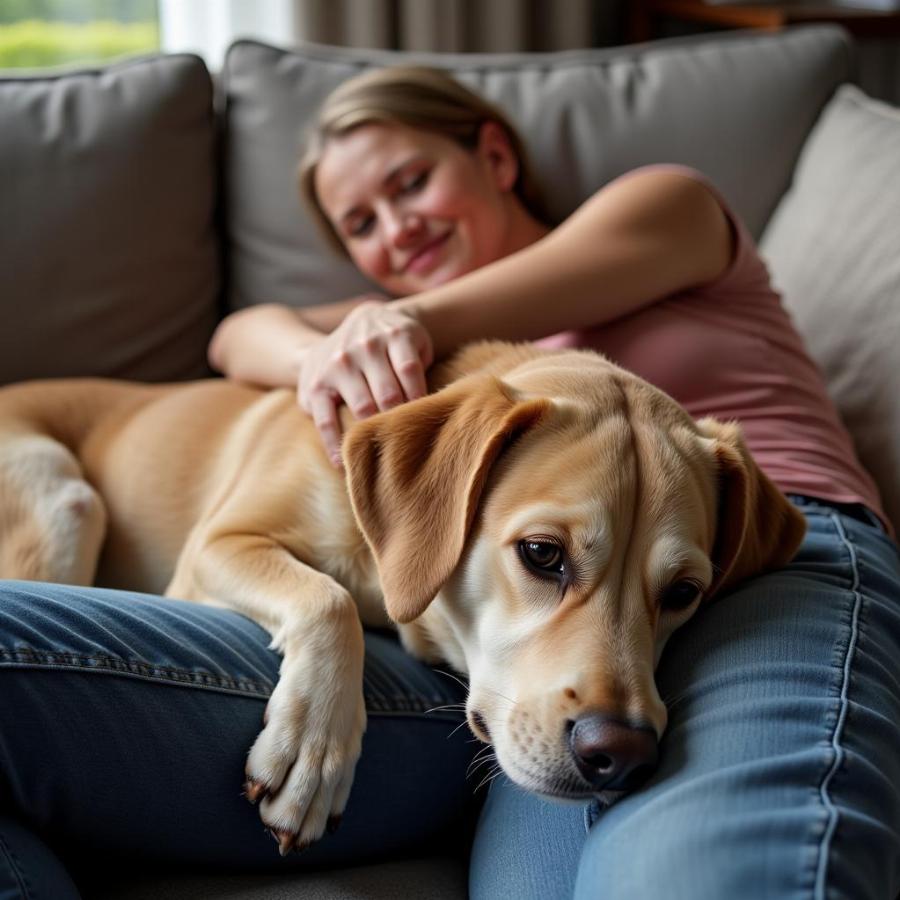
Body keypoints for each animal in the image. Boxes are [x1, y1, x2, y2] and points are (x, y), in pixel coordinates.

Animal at [0, 342, 800, 852]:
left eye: (684, 591)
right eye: (542, 554)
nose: (622, 754)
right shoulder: (215, 546)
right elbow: (329, 601)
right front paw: (315, 752)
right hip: (66, 500)